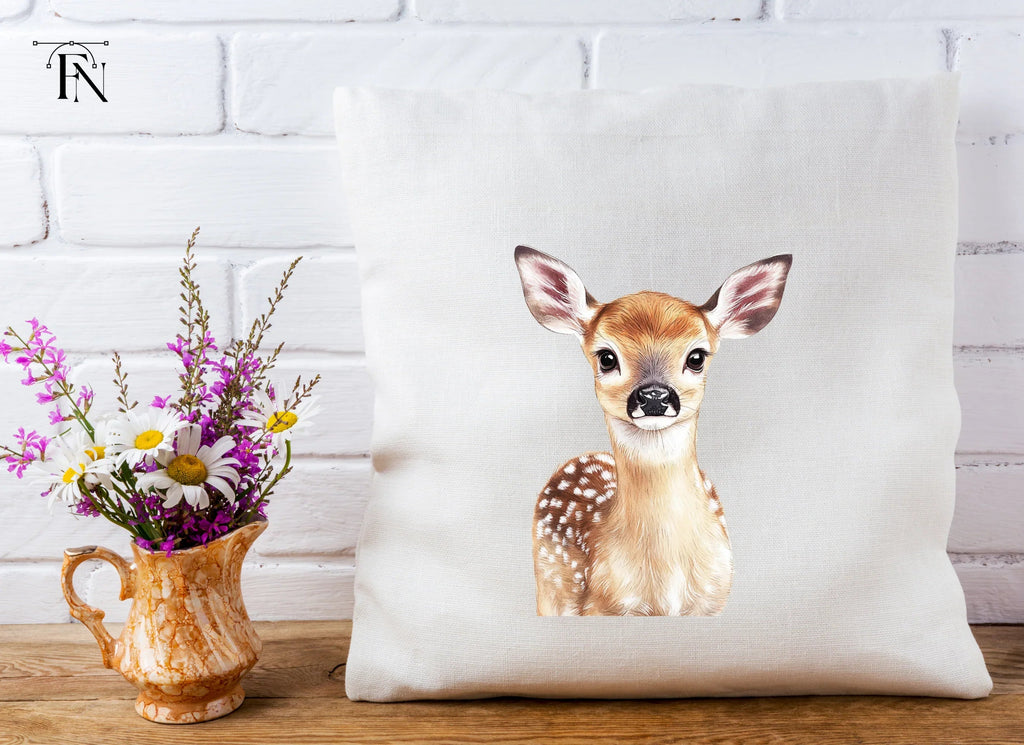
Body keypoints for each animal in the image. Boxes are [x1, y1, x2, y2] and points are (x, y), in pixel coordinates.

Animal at [514, 246, 792, 616]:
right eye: (606, 357)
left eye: (697, 357)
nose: (654, 396)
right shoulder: (601, 610)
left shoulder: (712, 603)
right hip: (548, 592)